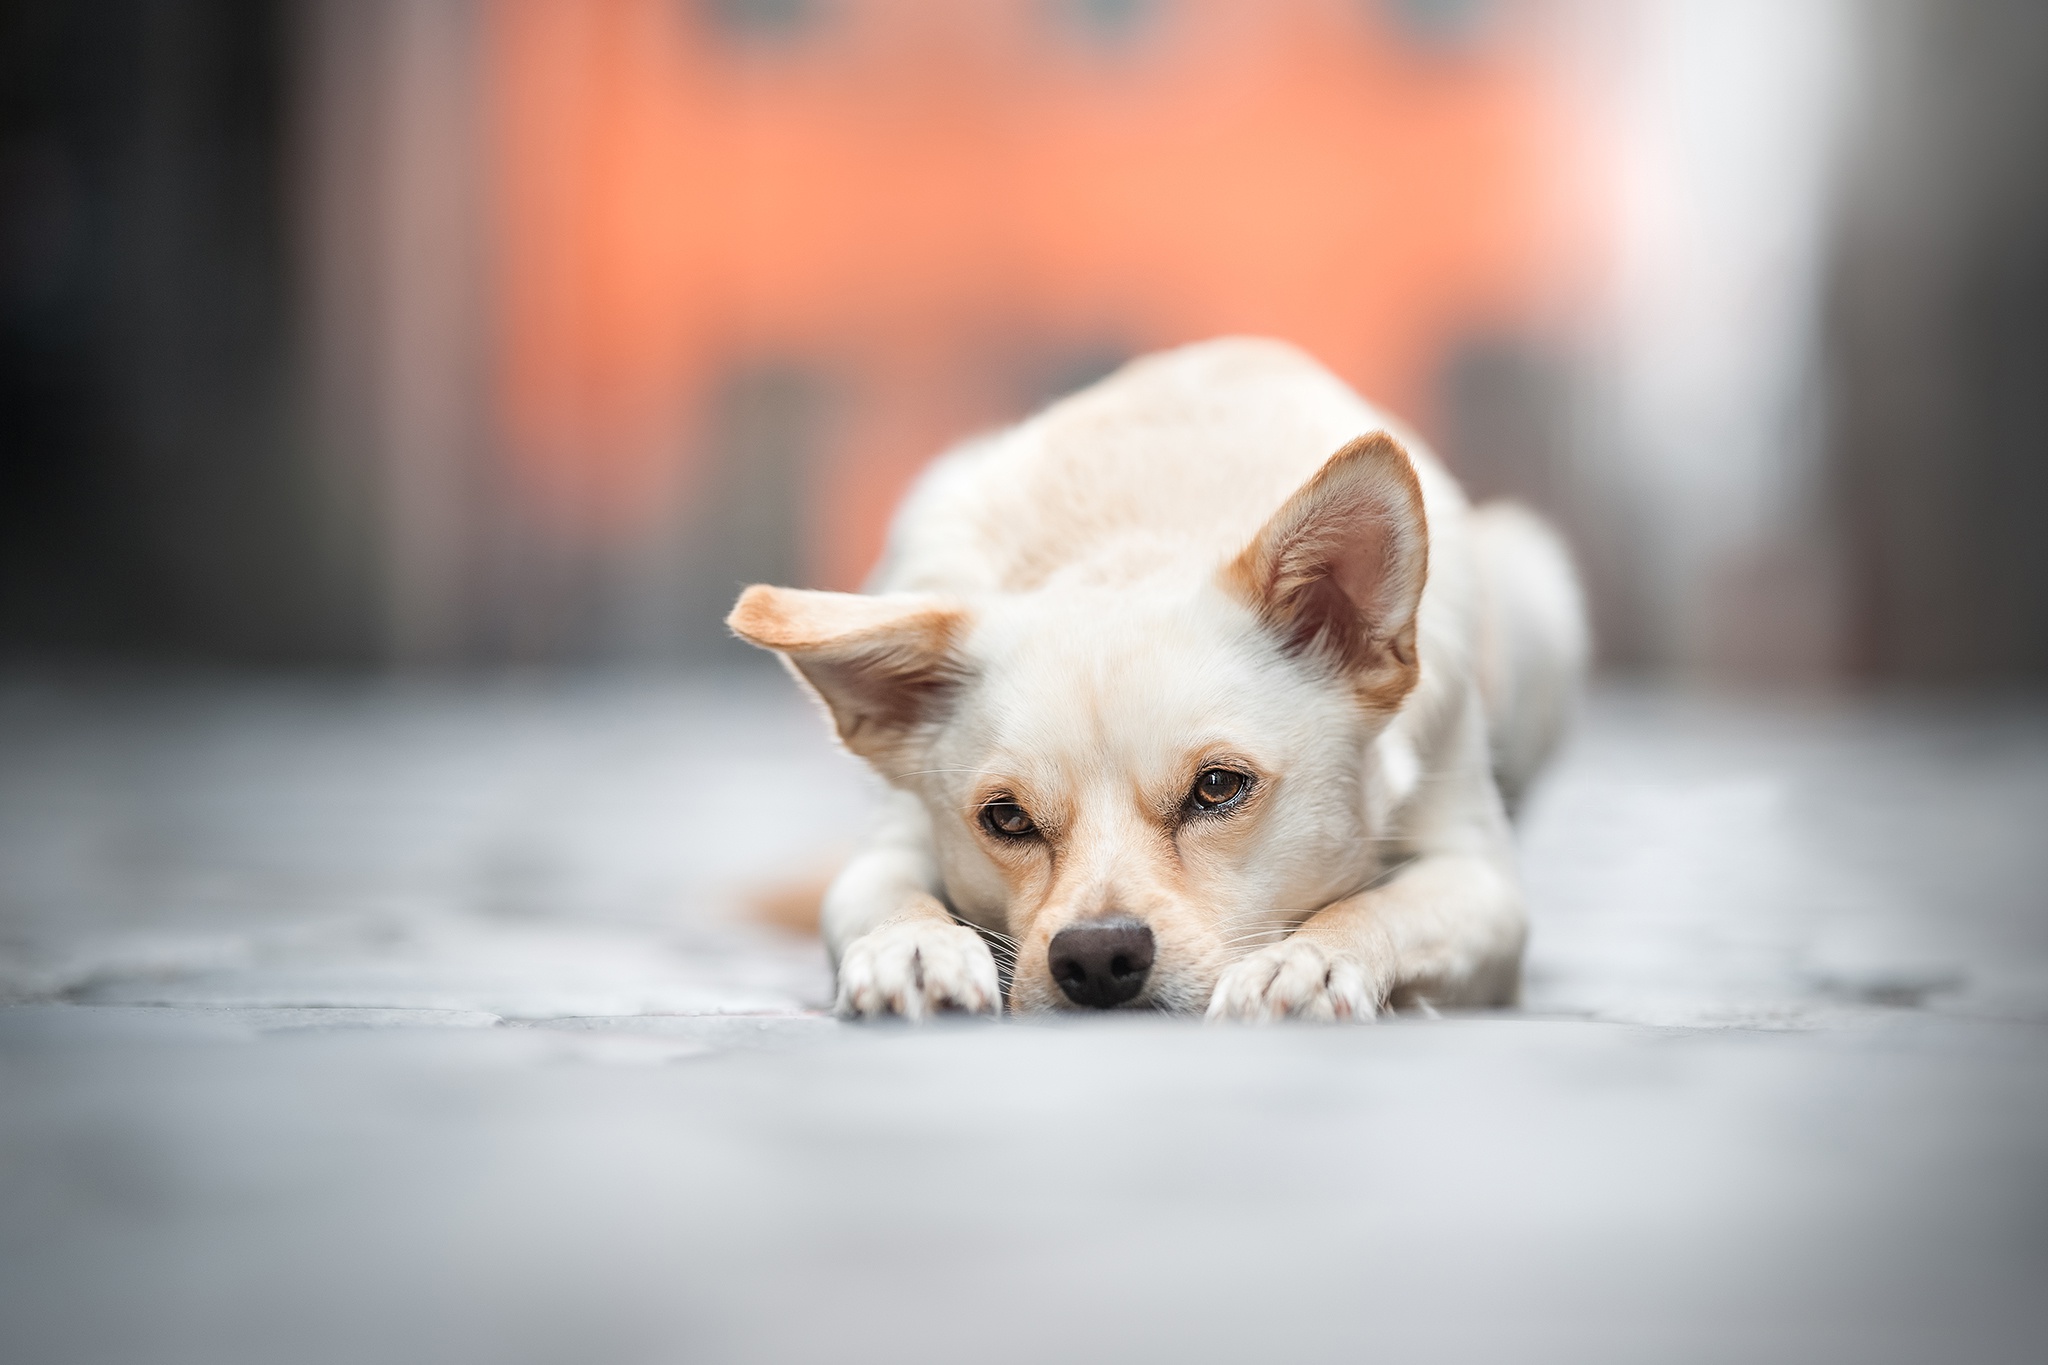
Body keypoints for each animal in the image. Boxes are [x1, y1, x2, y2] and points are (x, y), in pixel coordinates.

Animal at [729, 339, 1589, 1019]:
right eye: (1006, 818)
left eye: (1218, 788)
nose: (1096, 956)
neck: (1135, 540)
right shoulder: (888, 844)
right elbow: (883, 894)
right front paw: (911, 946)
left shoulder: (1480, 883)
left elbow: (1376, 906)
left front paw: (1309, 958)